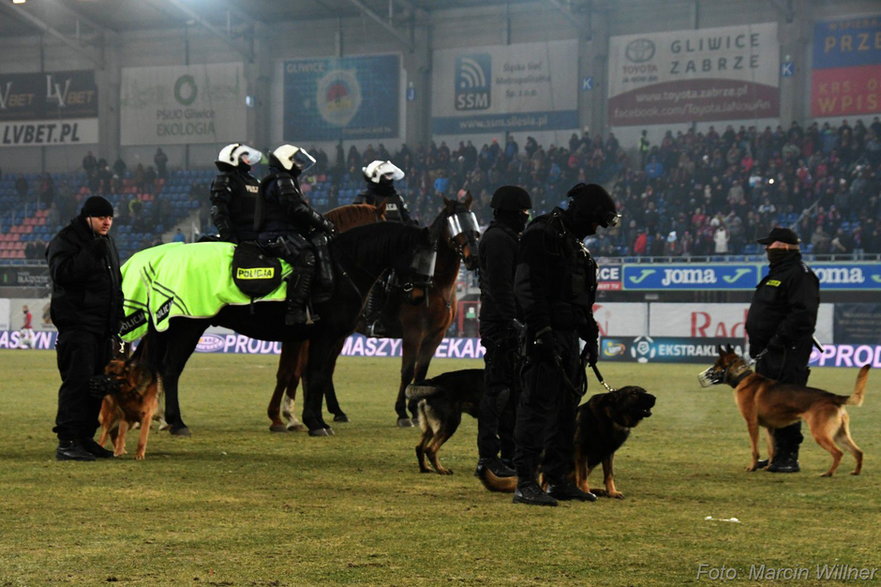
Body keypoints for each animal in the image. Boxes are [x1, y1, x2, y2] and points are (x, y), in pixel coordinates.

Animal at [474, 386, 652, 500]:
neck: (610, 417)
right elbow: (582, 476)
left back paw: (596, 491)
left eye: (644, 391)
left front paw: (612, 492)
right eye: (634, 393)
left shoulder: (608, 453)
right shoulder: (581, 450)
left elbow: (609, 475)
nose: (654, 398)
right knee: (546, 481)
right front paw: (586, 491)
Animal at [696, 344, 868, 478]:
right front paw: (768, 467)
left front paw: (752, 467)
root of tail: (833, 397)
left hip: (820, 434)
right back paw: (856, 472)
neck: (743, 377)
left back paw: (828, 473)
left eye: (715, 364)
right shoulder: (769, 428)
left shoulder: (752, 424)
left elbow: (755, 450)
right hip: (840, 434)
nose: (702, 377)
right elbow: (772, 450)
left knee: (838, 453)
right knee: (858, 452)